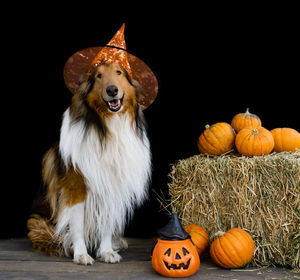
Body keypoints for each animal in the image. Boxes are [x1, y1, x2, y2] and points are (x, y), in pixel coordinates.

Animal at [27, 62, 151, 266]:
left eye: (119, 72)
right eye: (99, 76)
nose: (112, 90)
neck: (108, 127)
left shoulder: (112, 186)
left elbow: (107, 224)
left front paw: (107, 251)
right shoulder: (76, 188)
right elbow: (77, 225)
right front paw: (81, 254)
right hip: (37, 221)